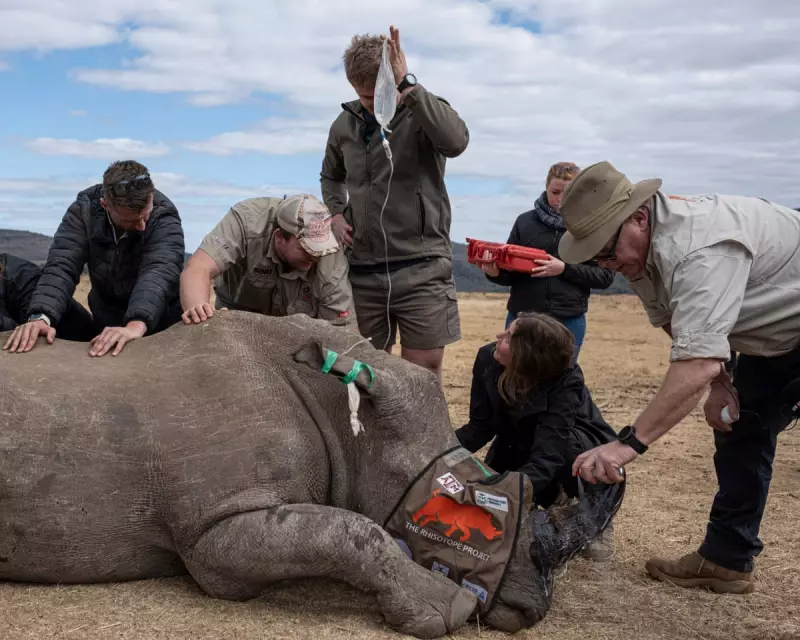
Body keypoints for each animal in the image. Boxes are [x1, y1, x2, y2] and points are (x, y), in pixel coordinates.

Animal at [0, 311, 623, 638]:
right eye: (464, 502)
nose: (532, 610)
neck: (341, 416)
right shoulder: (210, 532)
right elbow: (352, 532)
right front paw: (448, 610)